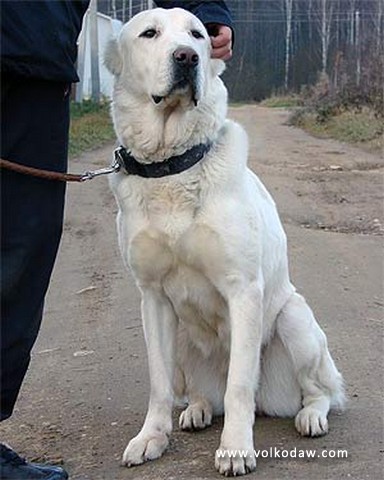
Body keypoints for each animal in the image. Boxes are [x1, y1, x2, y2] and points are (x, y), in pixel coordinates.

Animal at [105, 7, 344, 476]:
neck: (173, 165)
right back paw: (197, 409)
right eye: (149, 33)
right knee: (199, 392)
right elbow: (159, 385)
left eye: (198, 34)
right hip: (180, 336)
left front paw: (235, 448)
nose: (187, 57)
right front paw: (151, 438)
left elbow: (238, 386)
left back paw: (311, 416)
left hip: (294, 319)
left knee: (316, 390)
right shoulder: (153, 298)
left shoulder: (243, 291)